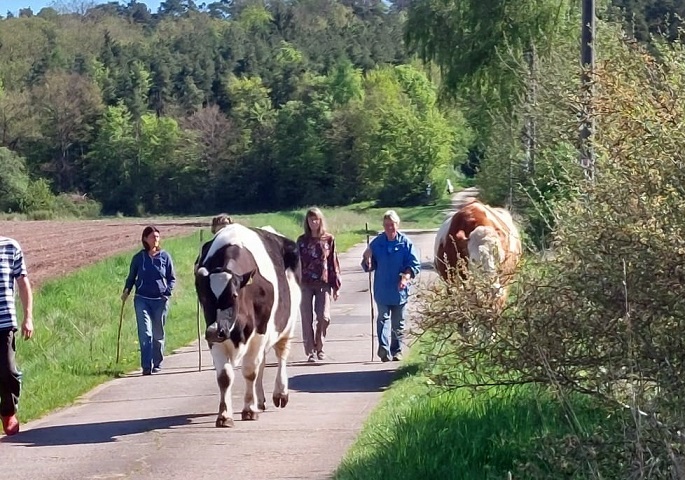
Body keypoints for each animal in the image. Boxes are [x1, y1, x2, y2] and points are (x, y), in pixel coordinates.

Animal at [195, 223, 302, 427]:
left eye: (234, 295)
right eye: (203, 296)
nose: (214, 330)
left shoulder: (259, 332)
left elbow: (250, 371)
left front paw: (249, 410)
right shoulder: (215, 338)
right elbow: (225, 376)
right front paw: (224, 415)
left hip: (287, 324)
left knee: (281, 355)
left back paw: (280, 393)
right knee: (263, 362)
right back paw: (260, 400)